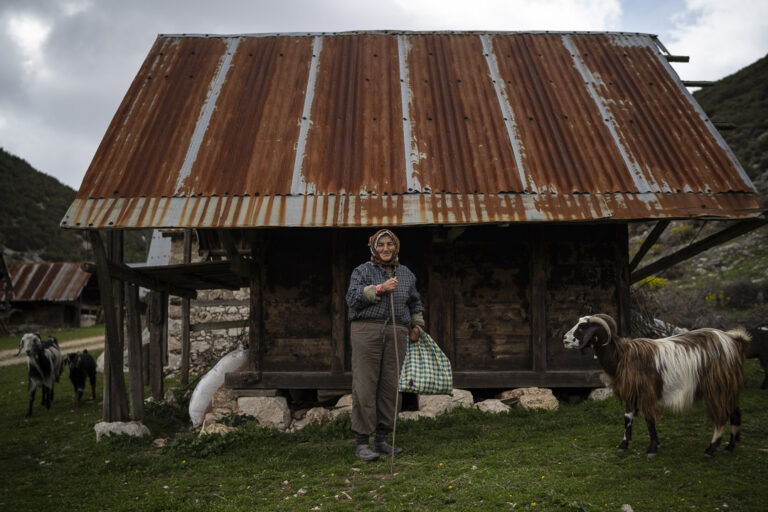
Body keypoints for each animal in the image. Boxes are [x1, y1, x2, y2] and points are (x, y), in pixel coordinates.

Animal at [564, 314, 752, 458]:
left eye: (582, 327)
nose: (564, 339)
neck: (621, 356)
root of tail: (733, 341)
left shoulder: (645, 392)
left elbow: (649, 419)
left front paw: (652, 448)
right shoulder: (631, 392)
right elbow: (628, 417)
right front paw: (624, 445)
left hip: (717, 387)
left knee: (721, 418)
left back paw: (710, 450)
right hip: (729, 387)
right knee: (735, 414)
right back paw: (729, 447)